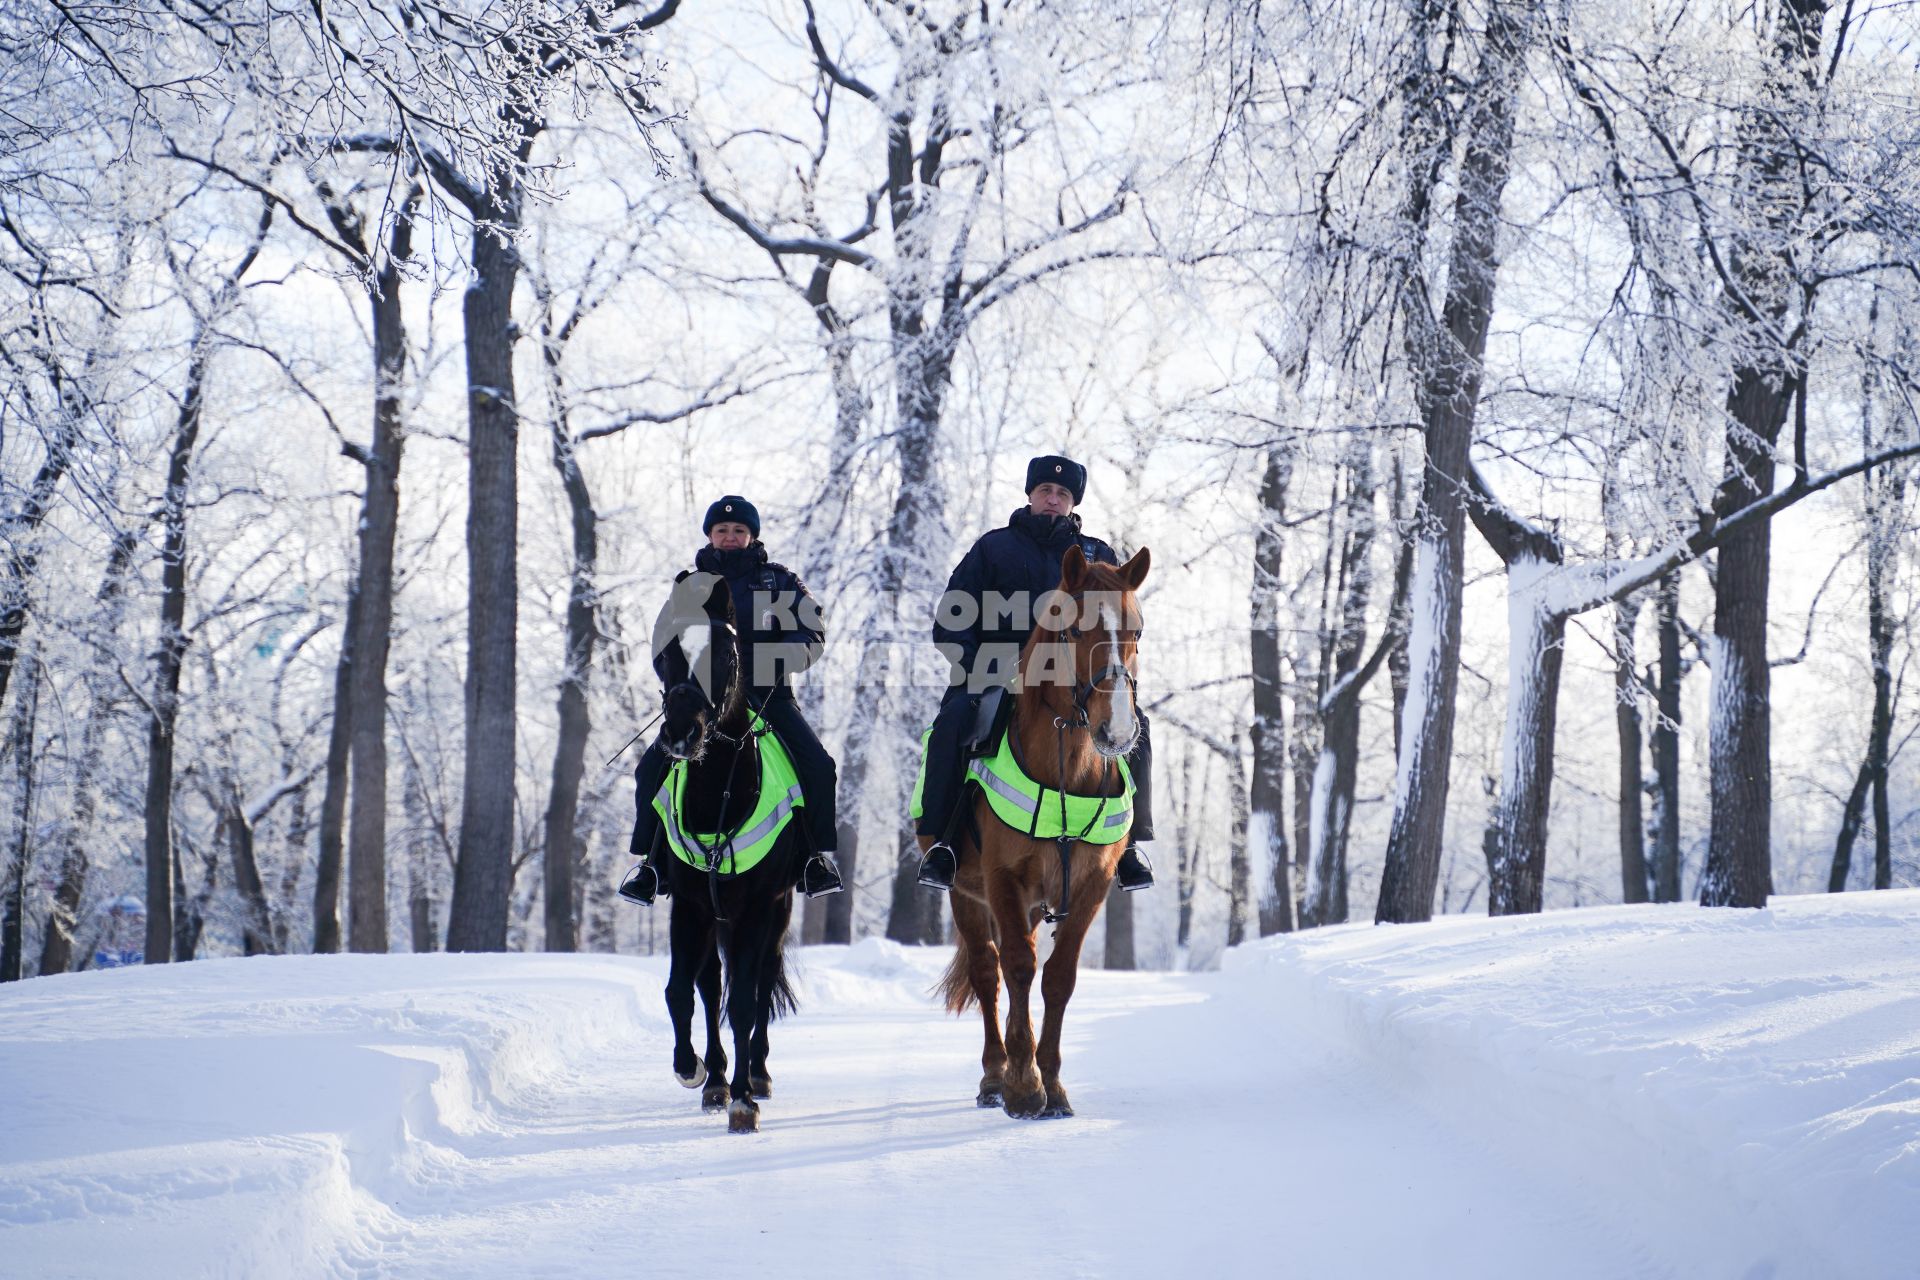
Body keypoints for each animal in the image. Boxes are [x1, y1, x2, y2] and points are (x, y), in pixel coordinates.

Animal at [645, 571, 794, 1128]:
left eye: (726, 654)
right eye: (666, 654)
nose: (681, 735)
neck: (717, 800)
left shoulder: (756, 908)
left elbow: (747, 1002)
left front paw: (744, 1099)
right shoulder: (689, 905)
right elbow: (680, 990)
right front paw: (692, 1070)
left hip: (776, 912)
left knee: (762, 980)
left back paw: (756, 1075)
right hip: (714, 916)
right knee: (710, 988)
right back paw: (714, 1080)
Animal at [933, 545, 1144, 1113]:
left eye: (1136, 629)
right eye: (1072, 631)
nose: (1118, 731)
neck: (1065, 773)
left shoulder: (1092, 885)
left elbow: (1059, 978)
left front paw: (1052, 1085)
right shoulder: (1003, 879)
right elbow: (1019, 969)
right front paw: (1024, 1086)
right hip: (966, 894)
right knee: (989, 972)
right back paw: (994, 1076)